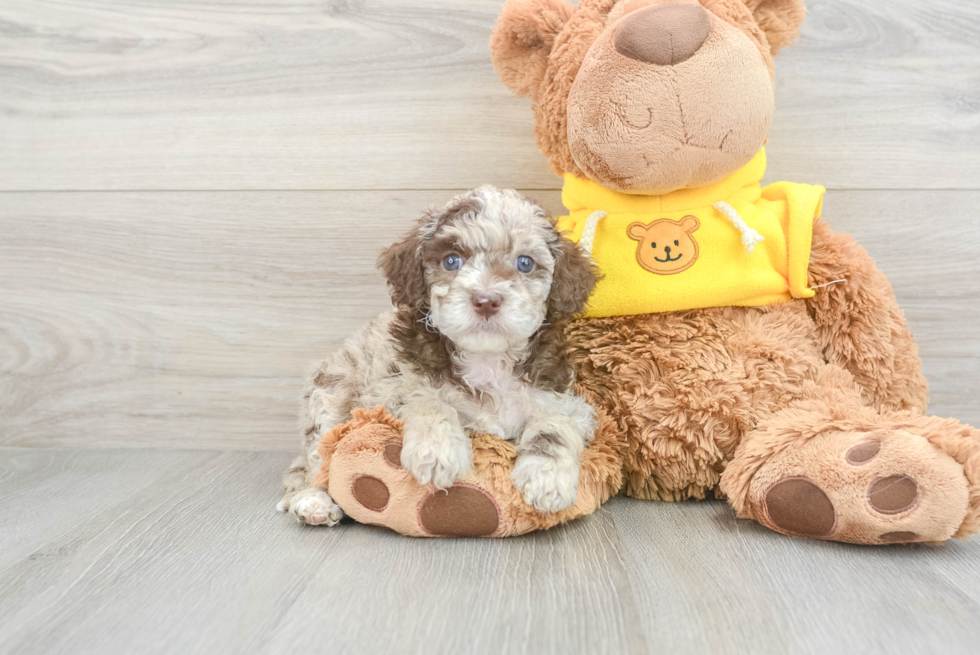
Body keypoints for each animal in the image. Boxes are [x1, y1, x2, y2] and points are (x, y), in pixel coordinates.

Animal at [276, 186, 596, 528]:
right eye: (451, 261)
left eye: (525, 263)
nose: (486, 300)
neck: (486, 361)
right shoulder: (388, 391)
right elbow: (427, 400)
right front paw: (437, 451)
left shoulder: (567, 401)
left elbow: (555, 424)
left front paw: (547, 477)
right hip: (330, 390)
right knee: (315, 457)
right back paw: (313, 500)